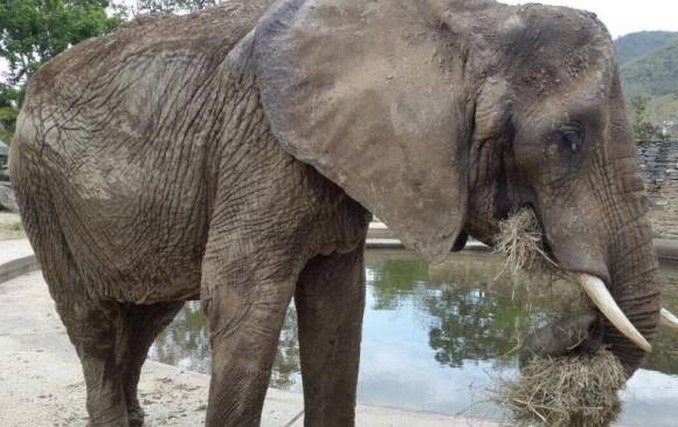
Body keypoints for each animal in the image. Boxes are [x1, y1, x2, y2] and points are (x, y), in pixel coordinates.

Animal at [8, 0, 669, 425]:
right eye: (566, 140)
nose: (576, 331)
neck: (460, 23)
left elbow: (338, 307)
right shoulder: (259, 147)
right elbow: (242, 300)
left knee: (146, 317)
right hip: (39, 189)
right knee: (93, 321)